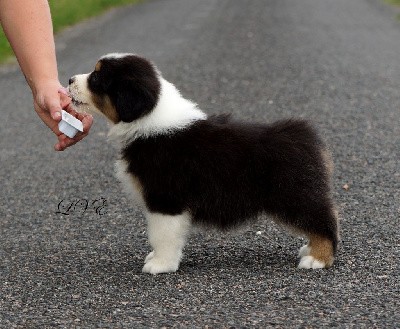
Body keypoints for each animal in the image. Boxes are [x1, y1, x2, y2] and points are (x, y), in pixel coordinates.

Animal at [68, 53, 338, 274]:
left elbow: (162, 234)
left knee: (323, 219)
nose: (69, 79)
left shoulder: (165, 199)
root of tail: (304, 135)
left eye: (97, 76)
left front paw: (160, 265)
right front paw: (157, 259)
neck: (149, 120)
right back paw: (309, 250)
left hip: (293, 193)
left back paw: (318, 258)